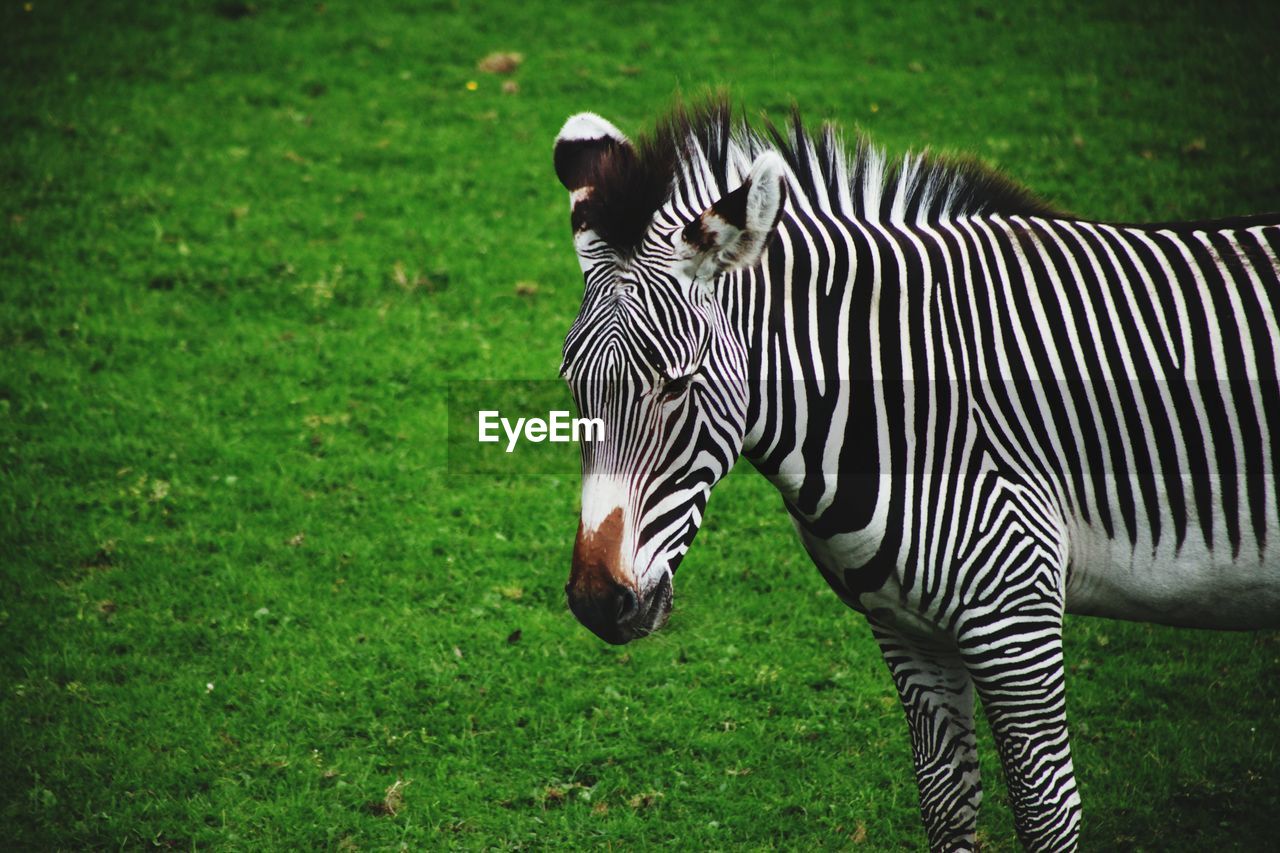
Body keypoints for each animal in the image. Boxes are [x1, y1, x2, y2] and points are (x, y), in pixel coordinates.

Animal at [550, 96, 1280, 845]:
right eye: (573, 384)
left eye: (675, 385)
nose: (597, 601)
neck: (910, 406)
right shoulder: (907, 626)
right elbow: (946, 800)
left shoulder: (1016, 616)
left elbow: (1047, 812)